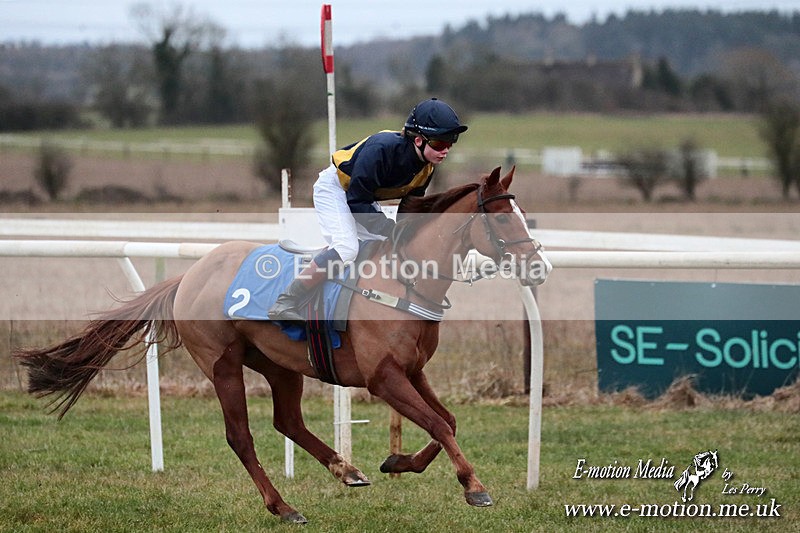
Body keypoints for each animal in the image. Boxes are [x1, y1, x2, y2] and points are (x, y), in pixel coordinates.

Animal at [14, 167, 550, 524]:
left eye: (525, 215)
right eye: (506, 220)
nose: (539, 268)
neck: (403, 277)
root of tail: (189, 274)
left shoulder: (413, 370)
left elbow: (447, 421)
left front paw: (398, 463)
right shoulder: (383, 378)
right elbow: (438, 422)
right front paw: (475, 487)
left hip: (280, 363)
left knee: (287, 420)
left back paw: (345, 469)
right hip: (222, 363)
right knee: (242, 436)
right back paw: (283, 505)